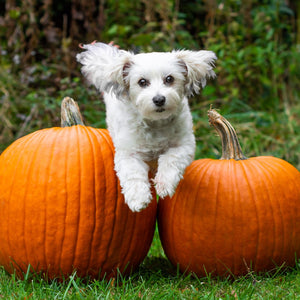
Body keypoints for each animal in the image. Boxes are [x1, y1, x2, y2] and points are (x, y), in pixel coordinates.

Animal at [75, 42, 216, 212]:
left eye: (169, 79)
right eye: (142, 82)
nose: (159, 99)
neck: (155, 122)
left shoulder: (184, 145)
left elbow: (171, 159)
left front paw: (164, 183)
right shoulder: (128, 153)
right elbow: (133, 173)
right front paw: (138, 198)